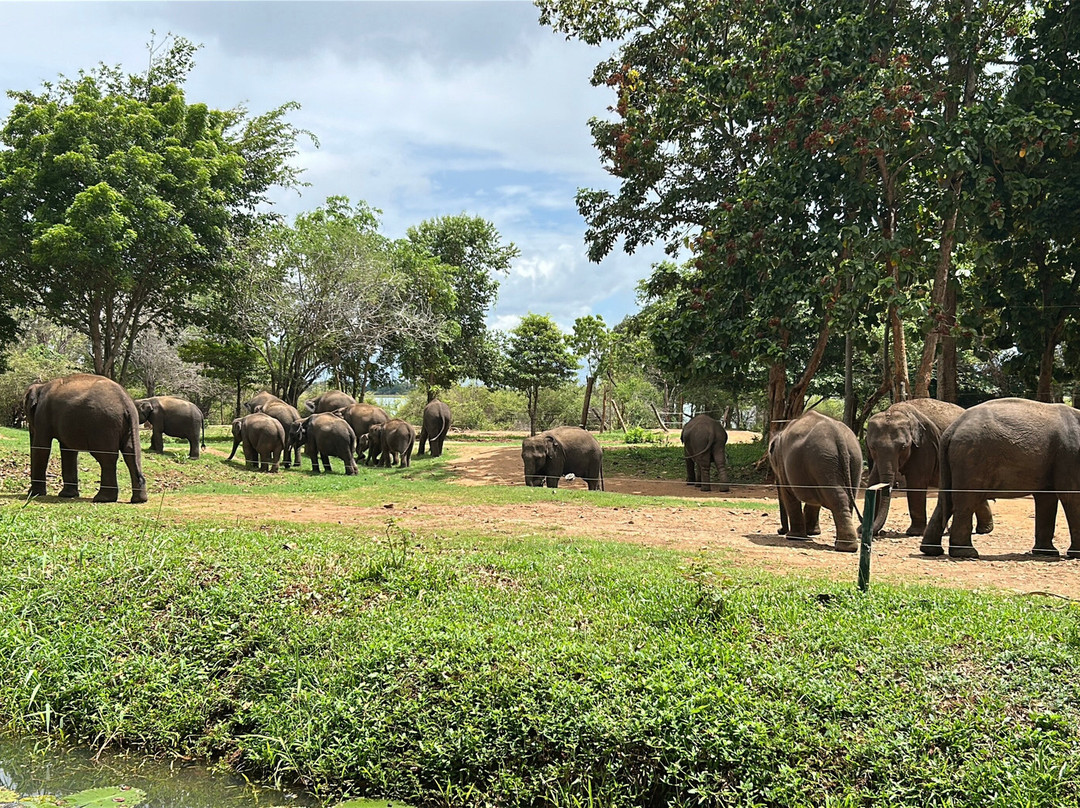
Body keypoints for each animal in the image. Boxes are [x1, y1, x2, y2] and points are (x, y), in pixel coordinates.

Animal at [24, 373, 148, 503]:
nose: (29, 491)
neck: (41, 386)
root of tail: (126, 403)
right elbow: (68, 450)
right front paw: (67, 495)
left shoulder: (42, 415)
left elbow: (41, 447)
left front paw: (34, 494)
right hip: (129, 425)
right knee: (131, 453)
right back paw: (139, 499)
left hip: (103, 424)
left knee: (106, 458)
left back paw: (102, 498)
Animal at [767, 411, 862, 552]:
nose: (780, 531)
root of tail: (839, 436)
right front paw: (812, 533)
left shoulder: (783, 465)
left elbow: (789, 494)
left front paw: (794, 537)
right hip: (851, 460)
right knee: (850, 497)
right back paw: (845, 545)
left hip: (822, 460)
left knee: (838, 497)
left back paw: (845, 547)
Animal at [867, 398, 993, 536]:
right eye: (872, 447)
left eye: (903, 447)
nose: (874, 532)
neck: (896, 410)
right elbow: (873, 480)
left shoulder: (924, 445)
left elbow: (916, 483)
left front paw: (914, 533)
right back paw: (984, 529)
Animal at [921, 398, 1080, 559]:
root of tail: (952, 428)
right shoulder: (1069, 455)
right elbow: (1071, 496)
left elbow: (1047, 498)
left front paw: (1046, 553)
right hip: (972, 458)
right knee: (966, 501)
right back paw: (966, 553)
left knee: (945, 501)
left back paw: (931, 550)